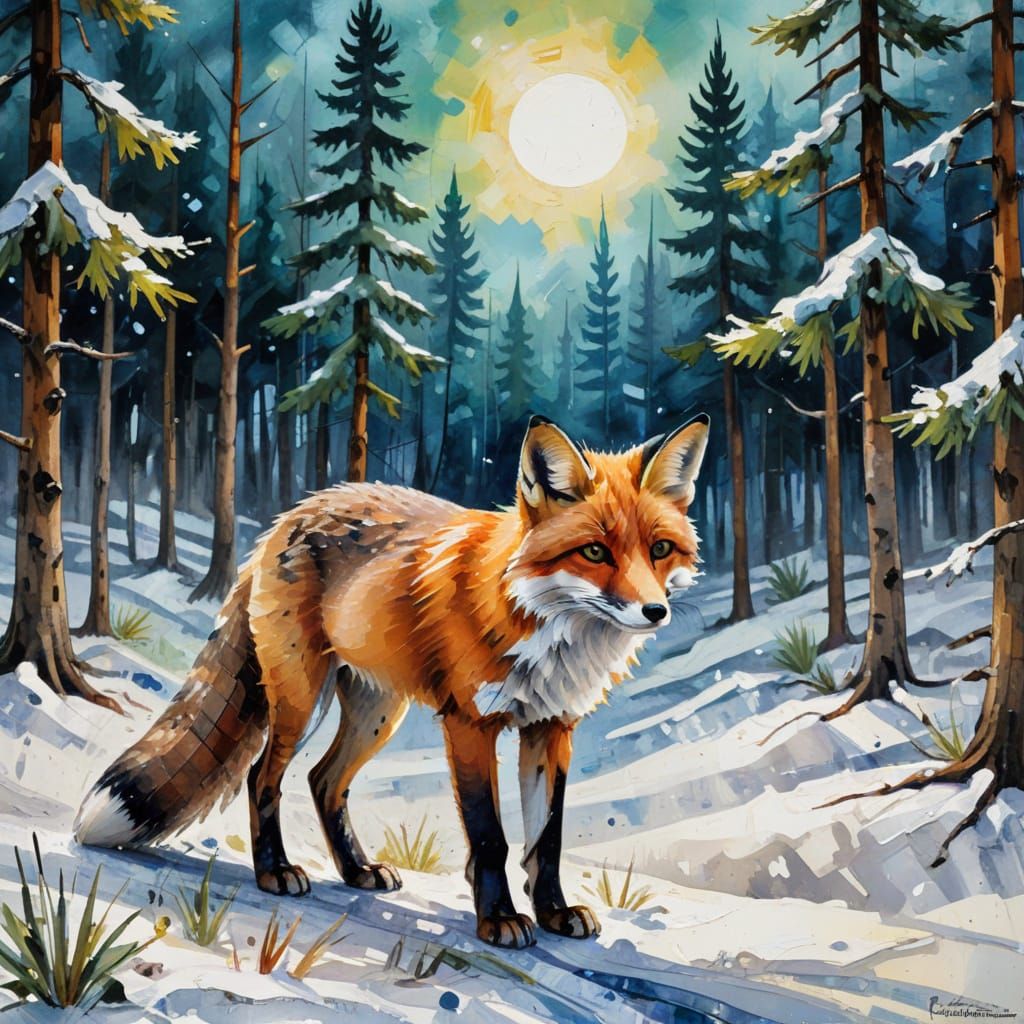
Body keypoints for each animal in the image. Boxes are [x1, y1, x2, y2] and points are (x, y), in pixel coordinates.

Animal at [75, 414, 709, 949]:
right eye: (595, 551)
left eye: (659, 549)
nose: (655, 612)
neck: (540, 624)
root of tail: (290, 516)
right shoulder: (470, 724)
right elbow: (491, 837)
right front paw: (499, 919)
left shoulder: (552, 728)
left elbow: (546, 839)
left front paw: (553, 912)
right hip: (302, 699)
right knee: (263, 777)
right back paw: (275, 872)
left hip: (378, 713)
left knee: (323, 781)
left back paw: (356, 870)